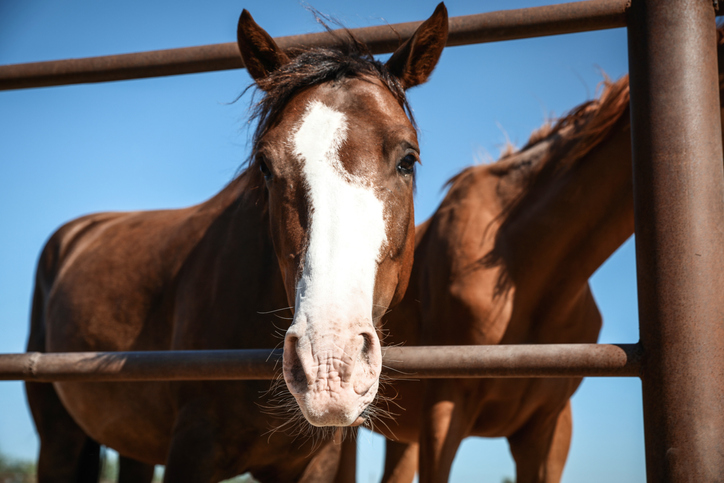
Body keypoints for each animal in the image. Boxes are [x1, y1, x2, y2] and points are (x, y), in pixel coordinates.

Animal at [24, 5, 448, 482]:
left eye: (408, 159)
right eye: (265, 165)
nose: (328, 368)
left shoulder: (317, 463)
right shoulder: (191, 450)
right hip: (59, 437)